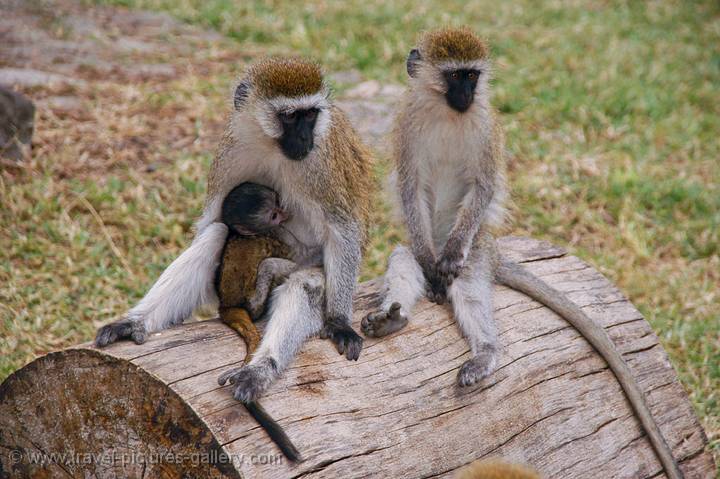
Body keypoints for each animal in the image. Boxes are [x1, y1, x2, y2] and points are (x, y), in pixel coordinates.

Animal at [96, 58, 374, 406]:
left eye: (310, 115)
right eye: (289, 117)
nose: (303, 141)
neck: (271, 147)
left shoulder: (322, 167)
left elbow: (342, 230)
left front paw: (338, 322)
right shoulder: (232, 152)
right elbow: (213, 219)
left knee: (306, 281)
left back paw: (260, 369)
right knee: (216, 234)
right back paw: (135, 321)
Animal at [214, 182, 304, 464]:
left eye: (277, 202)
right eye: (273, 215)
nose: (285, 214)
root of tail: (226, 305)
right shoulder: (272, 237)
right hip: (252, 299)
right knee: (268, 267)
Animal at [362, 27, 684, 479]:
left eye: (472, 75)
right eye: (454, 76)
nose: (467, 94)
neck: (448, 114)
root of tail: (494, 253)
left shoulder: (486, 129)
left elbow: (483, 186)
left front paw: (450, 258)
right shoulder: (408, 123)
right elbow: (410, 189)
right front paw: (422, 265)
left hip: (478, 251)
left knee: (468, 286)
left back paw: (484, 348)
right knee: (404, 260)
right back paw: (394, 315)